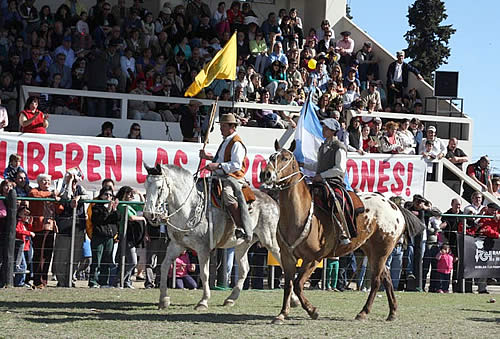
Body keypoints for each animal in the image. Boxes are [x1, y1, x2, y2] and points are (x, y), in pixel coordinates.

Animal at [142, 164, 296, 310]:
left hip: (271, 241)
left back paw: (293, 299)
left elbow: (204, 274)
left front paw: (203, 301)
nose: (149, 214)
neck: (190, 207)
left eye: (159, 187)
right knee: (245, 269)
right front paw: (163, 300)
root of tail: (273, 201)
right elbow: (164, 267)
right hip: (243, 244)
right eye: (146, 186)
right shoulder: (177, 245)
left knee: (283, 262)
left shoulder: (203, 249)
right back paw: (231, 298)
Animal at [260, 141, 424, 324]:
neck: (299, 214)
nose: (266, 174)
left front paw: (312, 311)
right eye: (271, 157)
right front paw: (282, 314)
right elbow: (289, 285)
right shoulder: (287, 257)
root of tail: (394, 206)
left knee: (376, 281)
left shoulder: (312, 259)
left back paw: (363, 312)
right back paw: (392, 312)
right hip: (372, 251)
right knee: (386, 278)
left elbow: (297, 284)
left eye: (285, 158)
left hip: (382, 251)